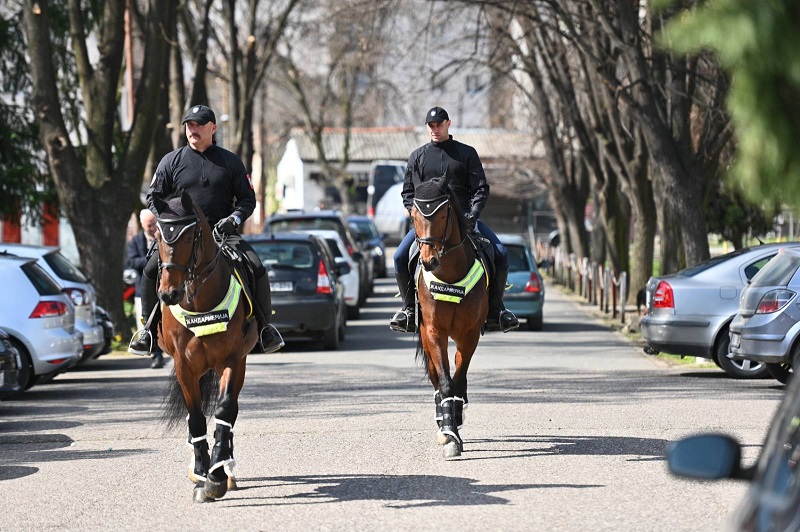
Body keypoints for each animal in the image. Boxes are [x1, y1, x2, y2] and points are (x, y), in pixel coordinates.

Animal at [152, 191, 258, 502]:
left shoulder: (232, 360)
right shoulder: (184, 366)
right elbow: (197, 417)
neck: (199, 304)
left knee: (231, 412)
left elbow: (224, 411)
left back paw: (226, 467)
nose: (168, 294)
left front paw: (217, 476)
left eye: (189, 237)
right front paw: (201, 472)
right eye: (158, 236)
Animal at [410, 178, 490, 458]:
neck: (450, 276)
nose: (429, 261)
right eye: (413, 215)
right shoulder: (434, 332)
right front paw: (449, 435)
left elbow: (458, 378)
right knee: (436, 377)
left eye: (443, 214)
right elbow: (445, 382)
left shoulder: (470, 334)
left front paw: (455, 420)